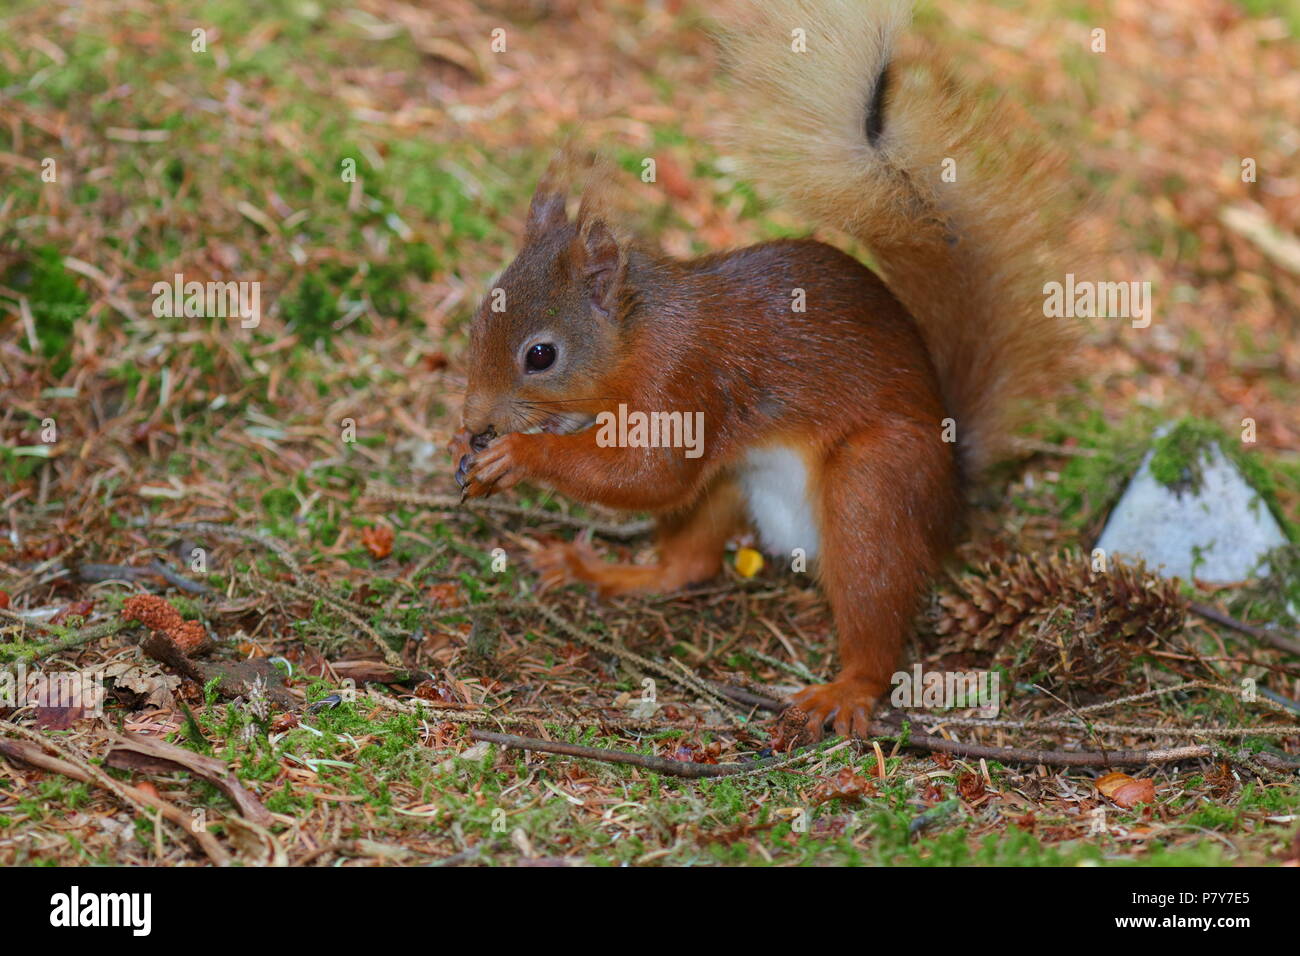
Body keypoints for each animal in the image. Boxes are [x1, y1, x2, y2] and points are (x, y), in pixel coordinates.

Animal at [447, 0, 1076, 743]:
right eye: (475, 319)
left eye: (540, 355)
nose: (474, 419)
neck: (638, 337)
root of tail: (952, 491)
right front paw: (474, 452)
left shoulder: (687, 380)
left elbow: (650, 475)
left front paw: (516, 454)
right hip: (731, 480)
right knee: (688, 566)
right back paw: (605, 572)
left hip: (874, 487)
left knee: (874, 609)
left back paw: (845, 691)